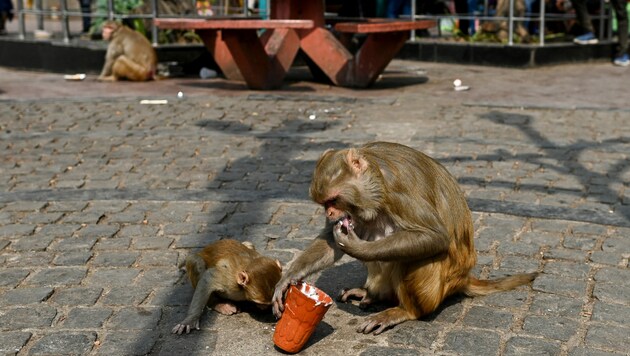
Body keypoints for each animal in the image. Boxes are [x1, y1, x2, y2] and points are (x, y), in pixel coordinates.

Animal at [272, 141, 540, 334]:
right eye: (324, 203)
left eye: (333, 200)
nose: (329, 213)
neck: (375, 181)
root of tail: (463, 279)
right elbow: (330, 240)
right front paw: (287, 278)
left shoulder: (397, 192)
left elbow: (435, 237)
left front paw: (357, 247)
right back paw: (373, 295)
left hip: (438, 287)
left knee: (413, 256)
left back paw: (405, 311)